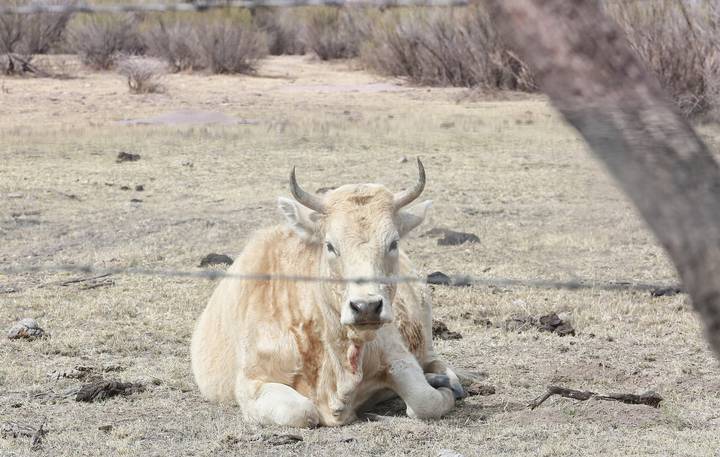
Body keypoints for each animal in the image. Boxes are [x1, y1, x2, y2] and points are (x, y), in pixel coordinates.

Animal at [191, 159, 464, 426]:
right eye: (330, 245)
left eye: (393, 243)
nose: (366, 307)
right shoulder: (251, 383)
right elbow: (302, 412)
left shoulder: (399, 356)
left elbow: (425, 401)